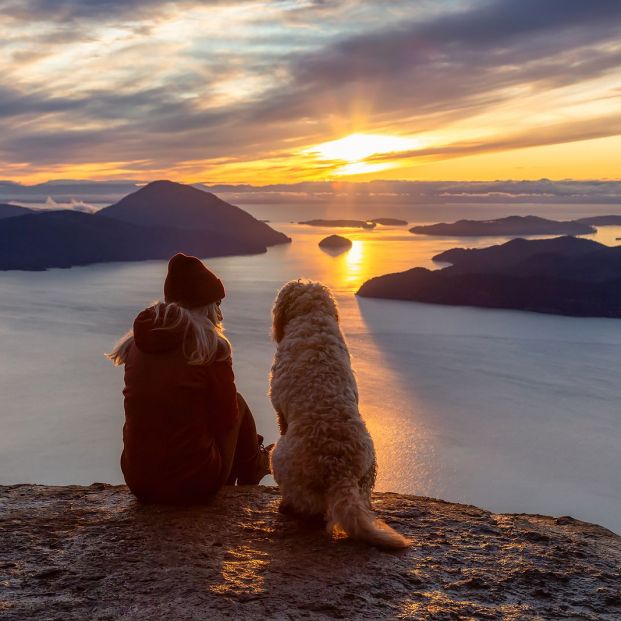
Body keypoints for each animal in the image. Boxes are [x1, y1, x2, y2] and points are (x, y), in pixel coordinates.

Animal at [268, 280, 410, 548]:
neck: (312, 317)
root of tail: (338, 470)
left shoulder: (280, 410)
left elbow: (282, 422)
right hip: (370, 469)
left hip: (278, 459)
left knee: (308, 507)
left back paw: (288, 507)